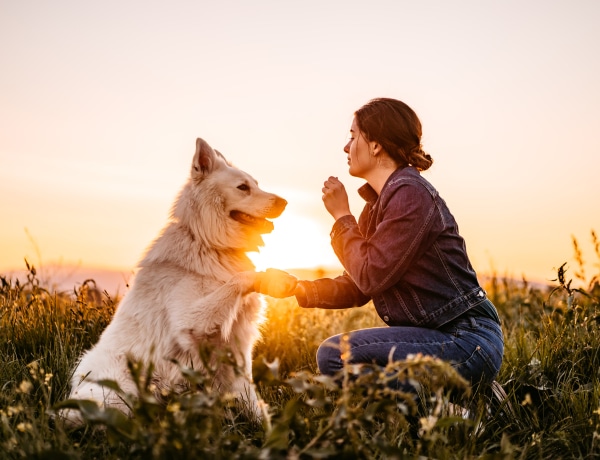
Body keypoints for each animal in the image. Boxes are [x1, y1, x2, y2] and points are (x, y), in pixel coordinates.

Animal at [59, 138, 290, 426]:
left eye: (256, 184)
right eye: (243, 187)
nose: (285, 202)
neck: (208, 243)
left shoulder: (239, 346)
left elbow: (251, 397)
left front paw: (265, 426)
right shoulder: (191, 323)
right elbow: (239, 279)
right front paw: (269, 277)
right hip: (119, 394)